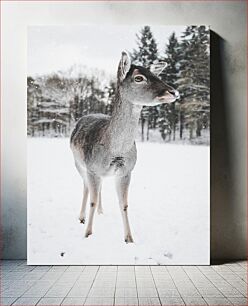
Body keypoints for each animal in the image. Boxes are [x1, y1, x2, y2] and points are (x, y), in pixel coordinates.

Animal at [70, 51, 179, 243]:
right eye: (139, 78)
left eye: (156, 74)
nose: (173, 91)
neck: (116, 150)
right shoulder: (92, 168)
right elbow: (92, 200)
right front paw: (88, 234)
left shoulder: (126, 171)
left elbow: (124, 204)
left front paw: (129, 238)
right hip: (78, 163)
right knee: (86, 187)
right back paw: (82, 217)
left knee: (98, 190)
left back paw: (101, 212)